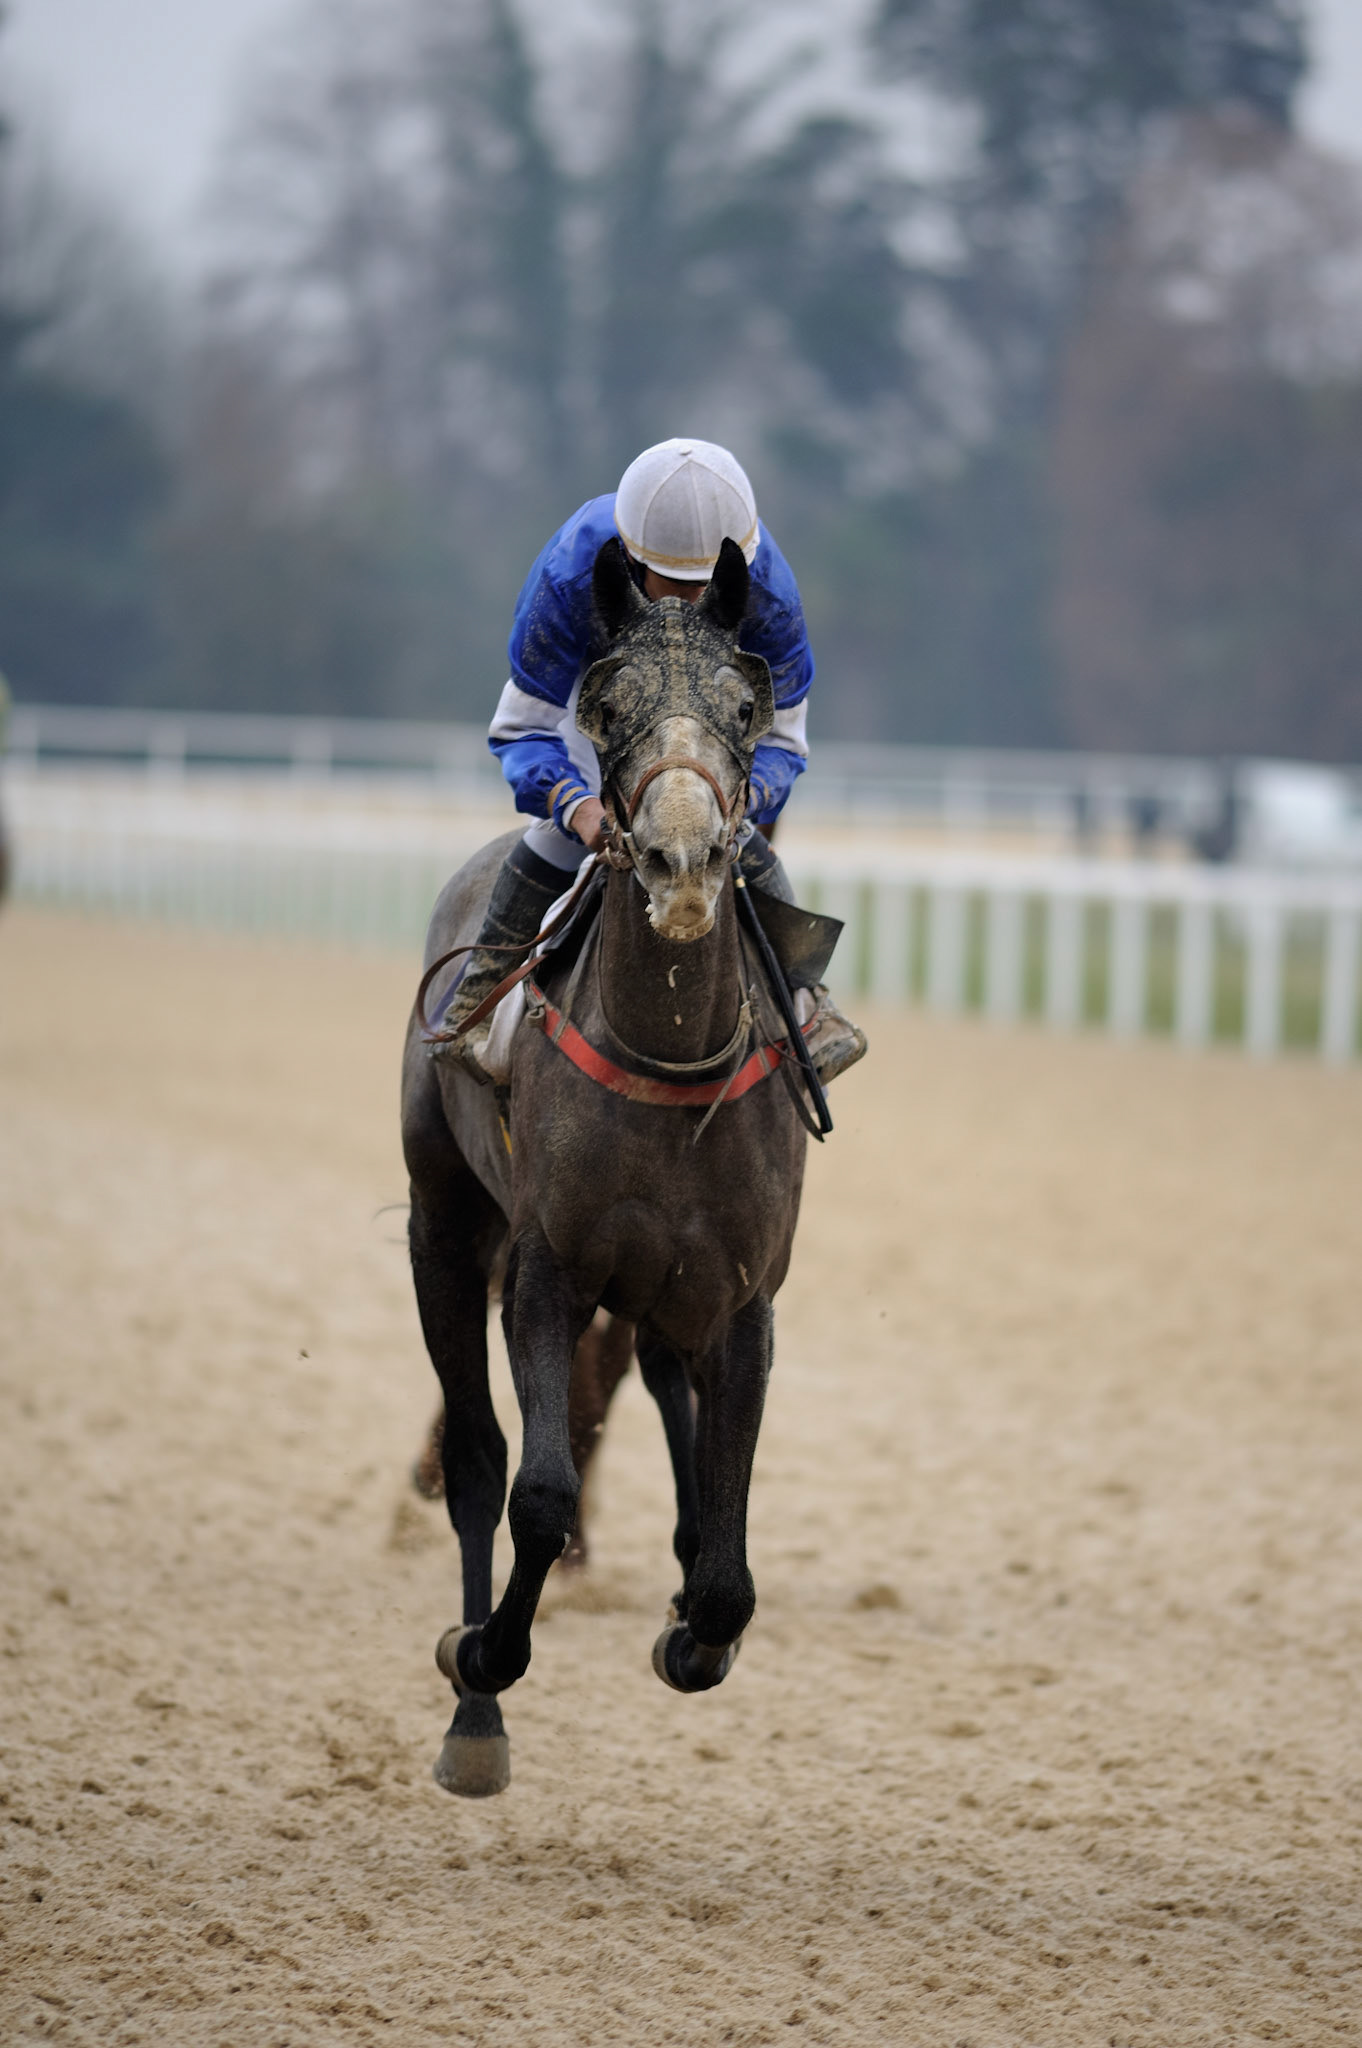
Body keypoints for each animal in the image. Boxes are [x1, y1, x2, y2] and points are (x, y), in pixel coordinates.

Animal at [399, 535, 810, 1796]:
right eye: (611, 704)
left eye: (743, 703)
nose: (683, 860)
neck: (668, 1051)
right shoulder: (548, 1270)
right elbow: (536, 1491)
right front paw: (480, 1656)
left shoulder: (741, 1297)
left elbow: (729, 1559)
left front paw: (693, 1632)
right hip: (442, 1226)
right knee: (476, 1456)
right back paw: (474, 1714)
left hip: (661, 1288)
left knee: (665, 1400)